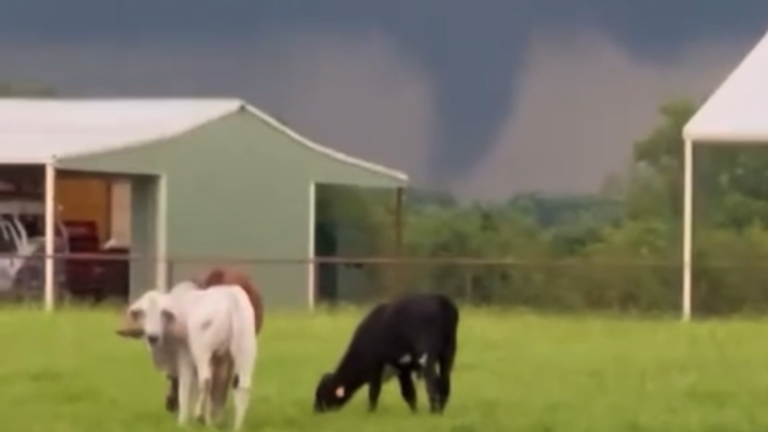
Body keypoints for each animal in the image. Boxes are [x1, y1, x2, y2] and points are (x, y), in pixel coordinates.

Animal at [115, 266, 266, 418]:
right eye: (142, 314)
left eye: (163, 313)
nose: (170, 405)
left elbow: (187, 384)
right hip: (244, 348)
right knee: (239, 383)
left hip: (205, 351)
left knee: (209, 379)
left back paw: (203, 415)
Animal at [314, 292, 460, 414]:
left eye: (322, 392)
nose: (316, 410)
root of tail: (442, 301)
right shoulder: (402, 368)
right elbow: (409, 393)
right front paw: (415, 412)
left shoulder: (376, 367)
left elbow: (374, 392)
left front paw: (370, 412)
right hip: (448, 353)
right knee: (444, 381)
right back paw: (440, 410)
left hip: (427, 355)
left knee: (432, 381)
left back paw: (434, 410)